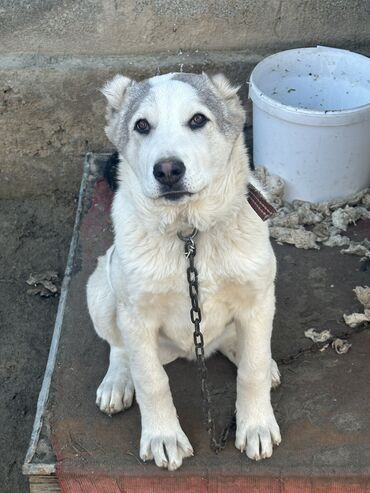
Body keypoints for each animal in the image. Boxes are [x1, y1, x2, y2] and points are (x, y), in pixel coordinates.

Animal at [86, 72, 280, 468]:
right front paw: (163, 436)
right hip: (101, 288)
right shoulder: (137, 315)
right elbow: (151, 381)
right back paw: (117, 381)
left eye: (198, 120)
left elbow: (251, 371)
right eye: (141, 125)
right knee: (119, 348)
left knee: (241, 346)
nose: (168, 170)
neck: (189, 233)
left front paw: (256, 425)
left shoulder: (258, 298)